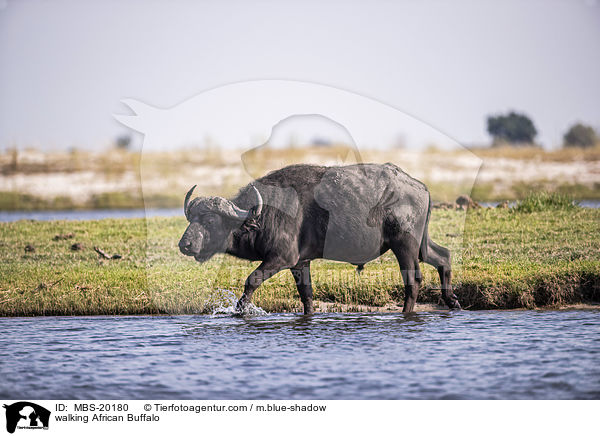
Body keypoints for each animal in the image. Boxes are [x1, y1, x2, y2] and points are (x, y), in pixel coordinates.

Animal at [178, 164, 460, 314]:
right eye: (191, 219)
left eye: (210, 220)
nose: (185, 244)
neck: (265, 212)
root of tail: (419, 186)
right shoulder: (300, 263)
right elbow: (307, 295)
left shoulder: (281, 258)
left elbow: (252, 280)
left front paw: (240, 310)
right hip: (420, 244)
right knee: (443, 257)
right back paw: (452, 301)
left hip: (405, 245)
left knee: (413, 280)